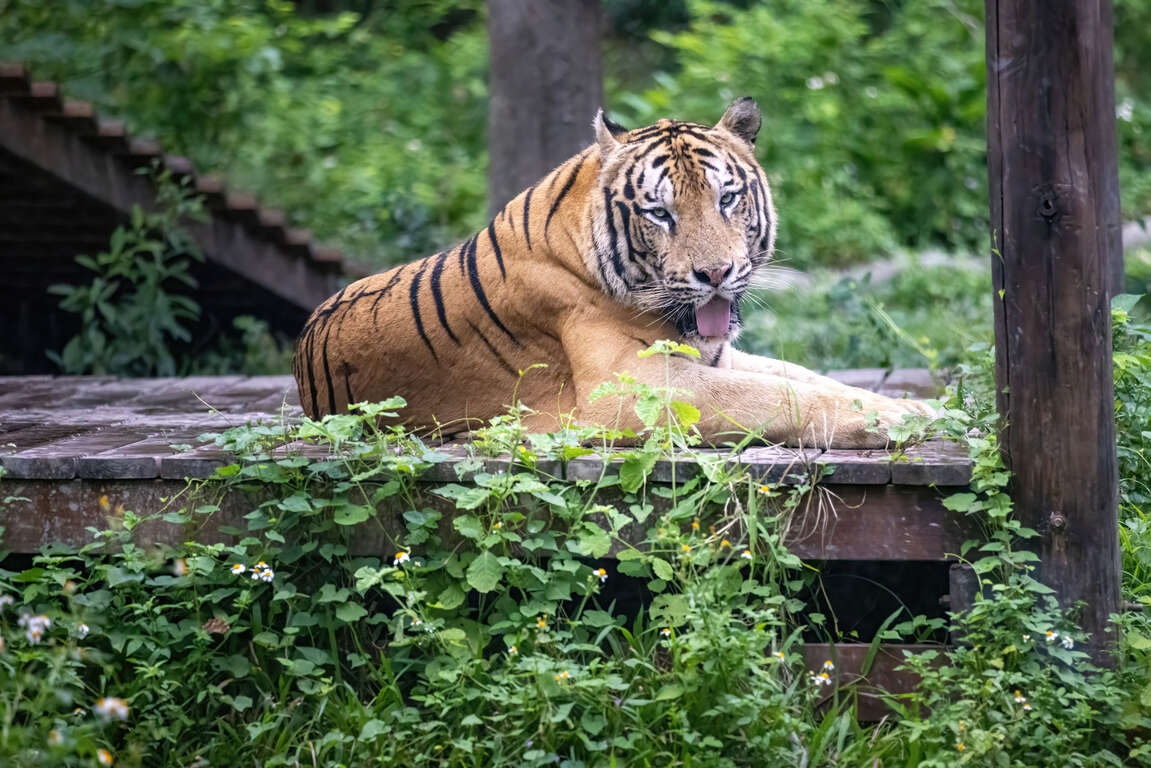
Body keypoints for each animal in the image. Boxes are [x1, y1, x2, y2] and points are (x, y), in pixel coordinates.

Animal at [293, 98, 929, 448]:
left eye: (726, 199)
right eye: (659, 212)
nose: (716, 273)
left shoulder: (713, 355)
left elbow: (807, 378)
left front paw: (924, 408)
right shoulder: (626, 386)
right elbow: (774, 396)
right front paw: (897, 420)